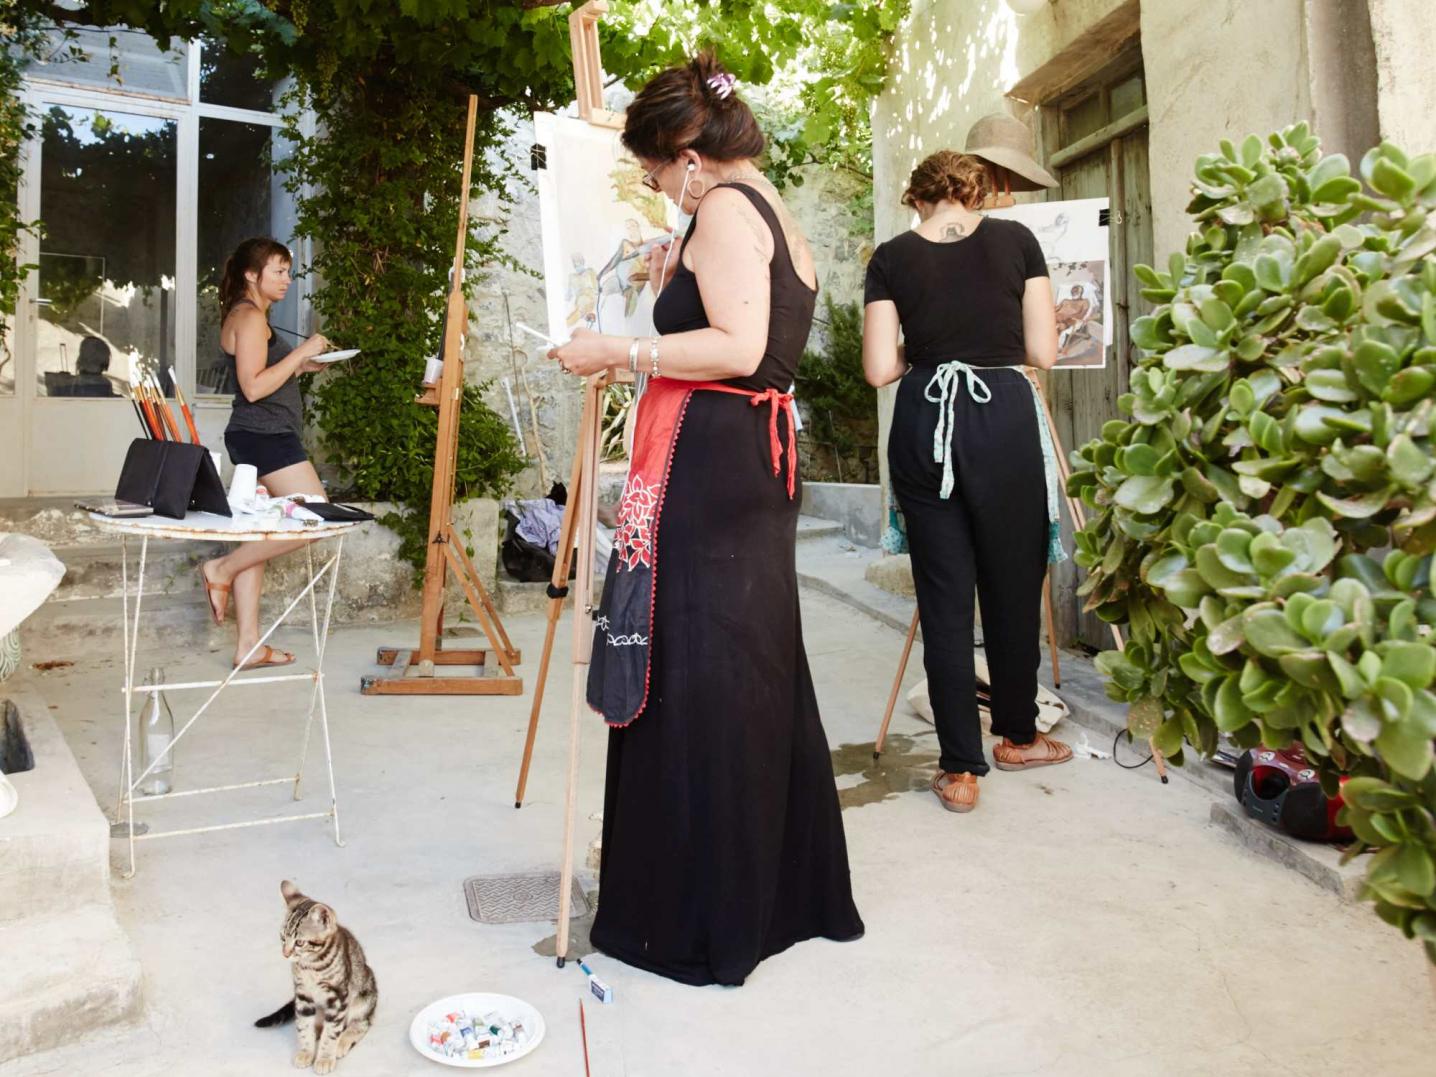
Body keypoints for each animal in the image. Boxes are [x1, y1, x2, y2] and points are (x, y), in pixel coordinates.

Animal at [254, 878, 379, 1074]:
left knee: (362, 1022)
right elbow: (304, 1026)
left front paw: (325, 1057)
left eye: (299, 942)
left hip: (365, 994)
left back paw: (342, 1041)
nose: (285, 954)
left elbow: (332, 1032)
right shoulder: (302, 995)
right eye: (283, 938)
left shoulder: (338, 998)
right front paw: (306, 1051)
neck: (311, 966)